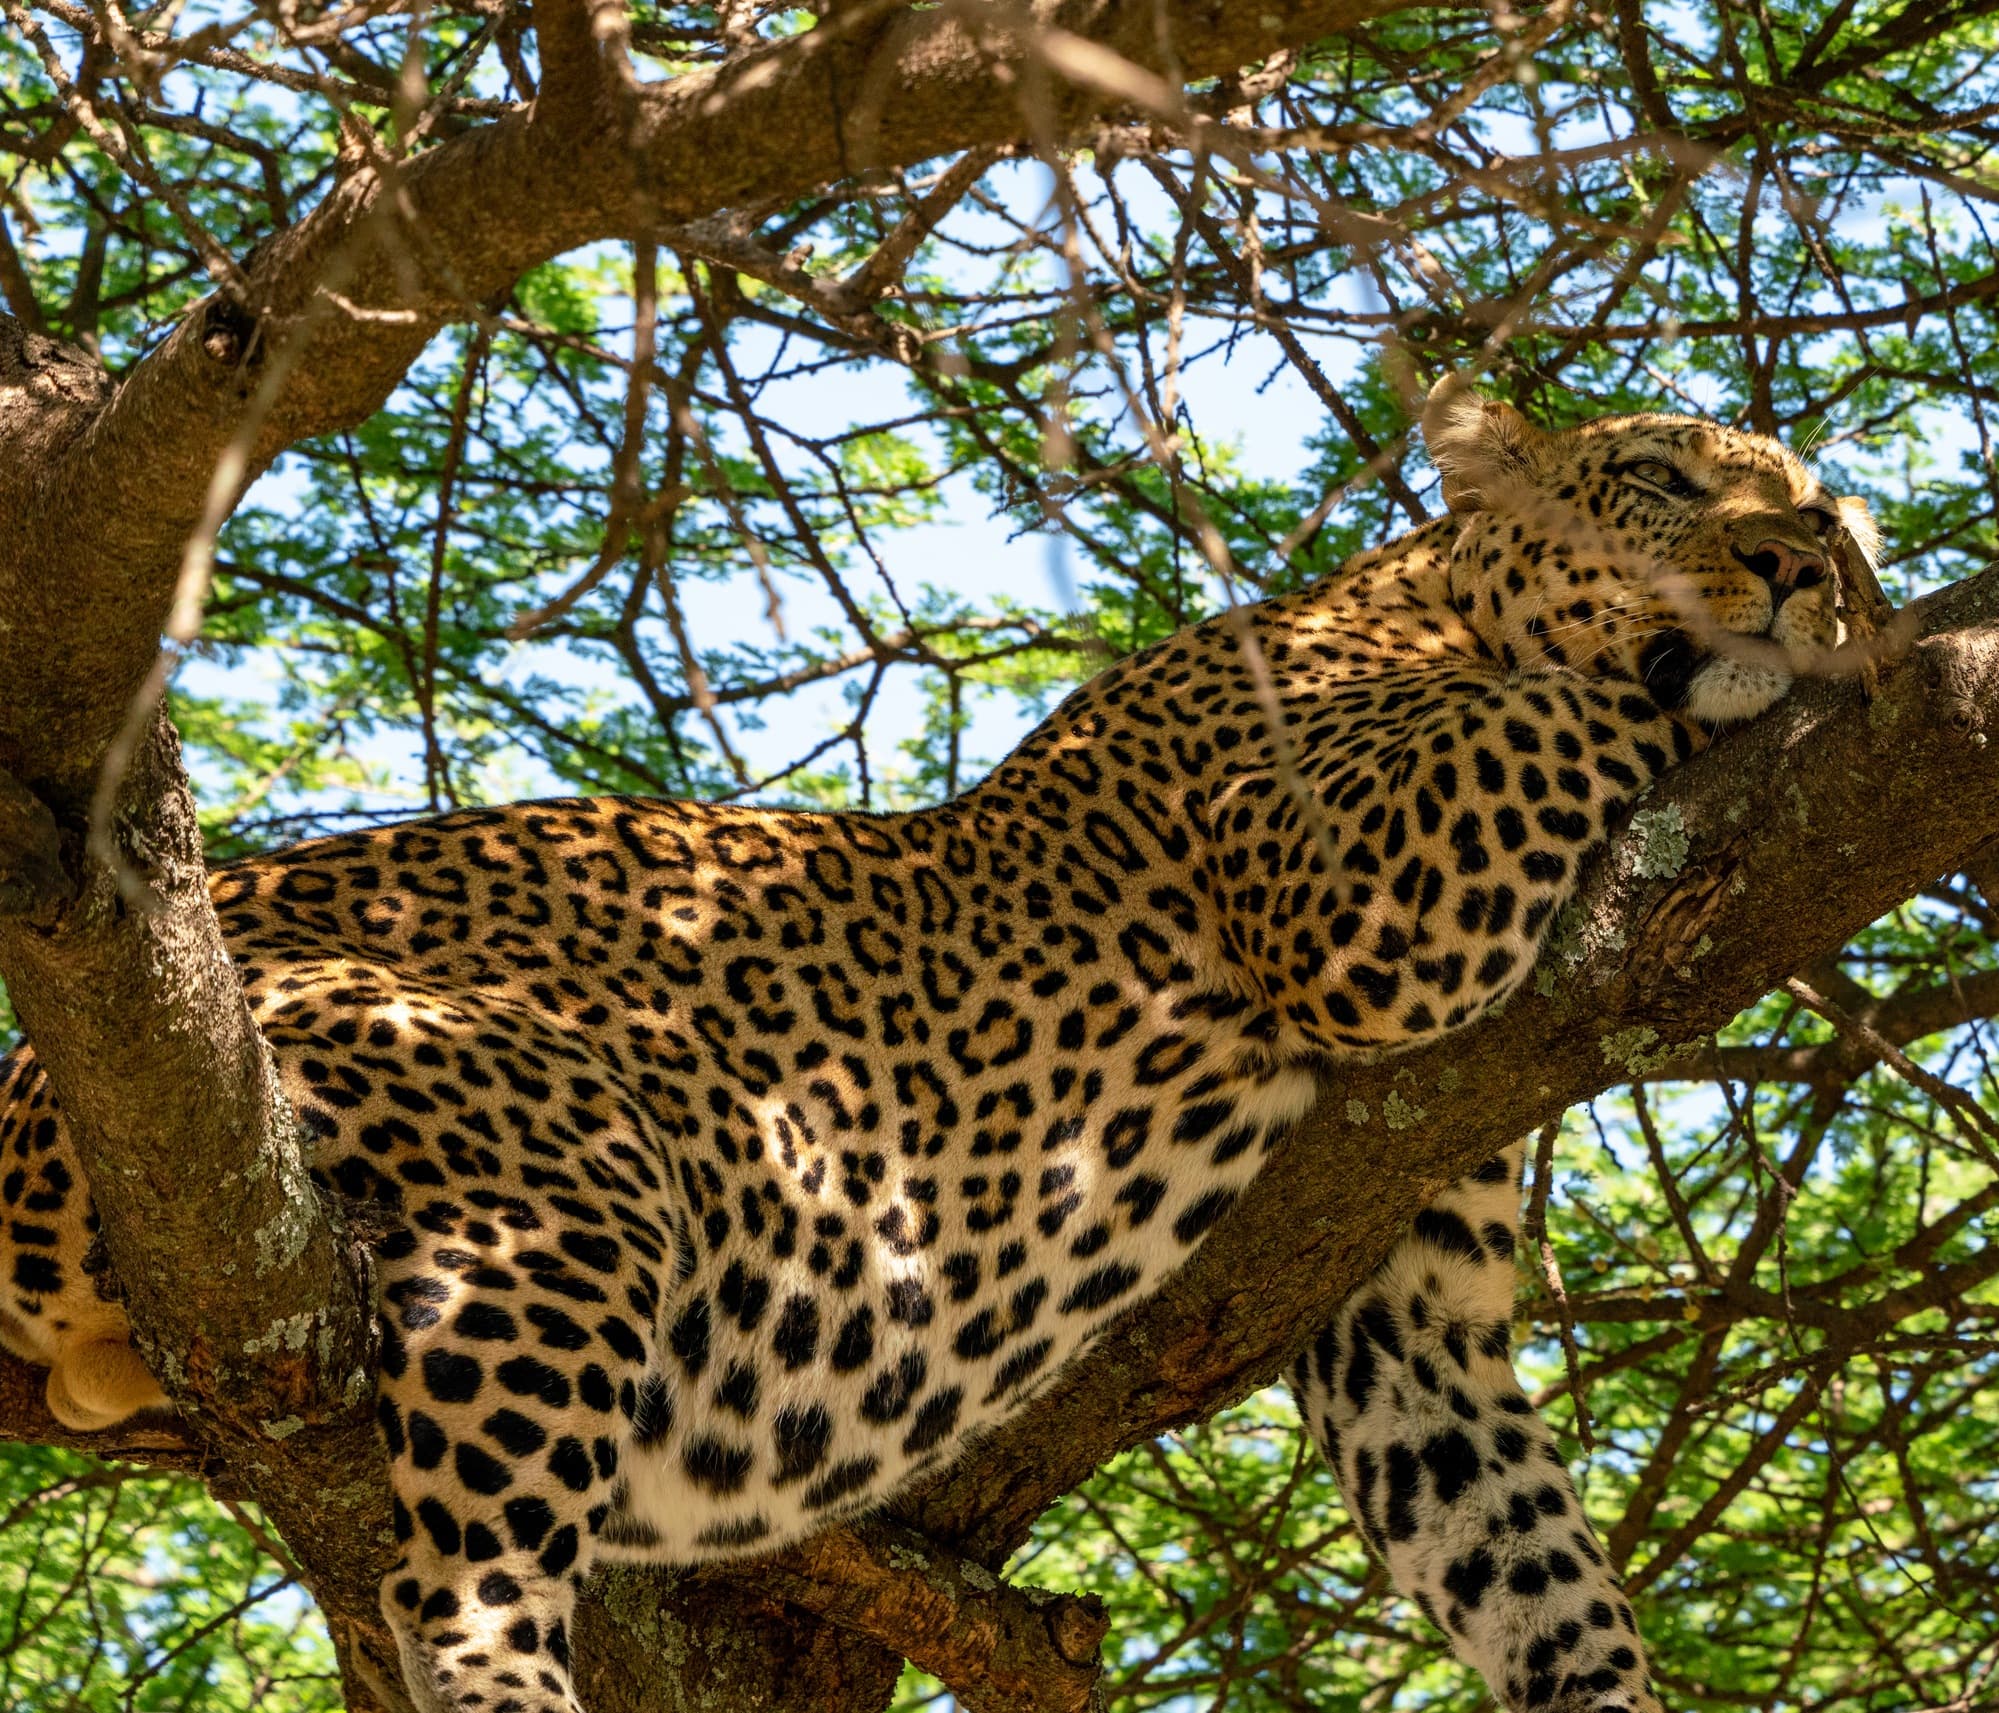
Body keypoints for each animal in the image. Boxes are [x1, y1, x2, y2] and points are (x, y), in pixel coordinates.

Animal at [0, 375, 1878, 1713]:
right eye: (1665, 481)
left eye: (1815, 510)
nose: (1801, 563)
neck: (1420, 604)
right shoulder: (1330, 866)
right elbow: (1577, 702)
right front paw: (1766, 659)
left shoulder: (1404, 1308)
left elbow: (1540, 1579)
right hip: (550, 1148)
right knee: (454, 1587)